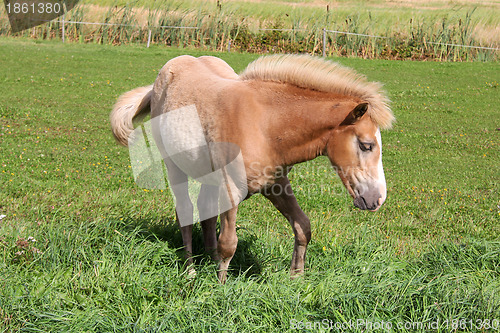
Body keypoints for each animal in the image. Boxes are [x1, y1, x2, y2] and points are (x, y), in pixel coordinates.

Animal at [110, 54, 394, 282]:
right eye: (366, 145)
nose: (377, 199)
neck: (264, 125)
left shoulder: (275, 185)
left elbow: (303, 226)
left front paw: (297, 278)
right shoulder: (231, 190)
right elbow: (229, 243)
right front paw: (221, 288)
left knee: (206, 211)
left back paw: (208, 258)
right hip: (175, 168)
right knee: (186, 212)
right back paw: (190, 270)